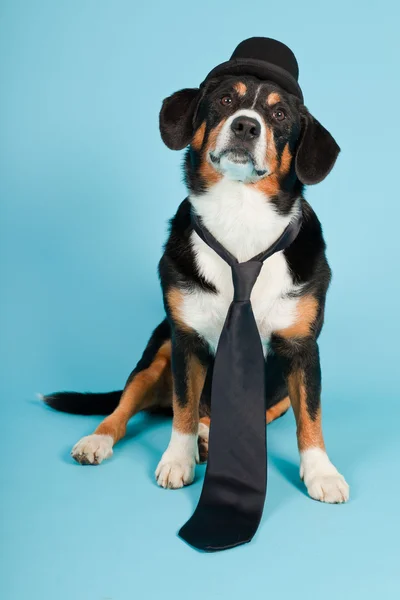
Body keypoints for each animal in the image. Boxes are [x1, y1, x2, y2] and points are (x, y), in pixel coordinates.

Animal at [44, 38, 350, 506]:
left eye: (280, 114)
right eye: (225, 100)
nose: (246, 127)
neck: (240, 220)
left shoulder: (301, 349)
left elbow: (310, 418)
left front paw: (322, 472)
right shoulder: (185, 341)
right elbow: (183, 410)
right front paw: (177, 460)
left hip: (275, 394)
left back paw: (210, 438)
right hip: (157, 352)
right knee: (125, 408)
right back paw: (98, 439)